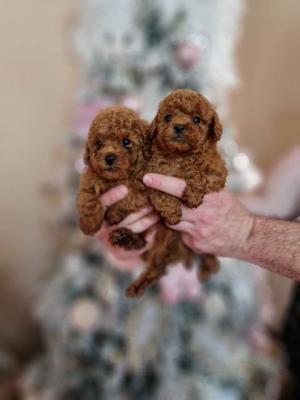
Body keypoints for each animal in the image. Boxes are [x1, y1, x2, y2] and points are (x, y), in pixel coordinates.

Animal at [77, 106, 150, 250]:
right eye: (99, 143)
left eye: (126, 142)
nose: (109, 158)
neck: (114, 179)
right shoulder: (88, 180)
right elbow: (87, 199)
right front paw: (89, 224)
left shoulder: (143, 188)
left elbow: (130, 197)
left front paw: (114, 215)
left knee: (142, 243)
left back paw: (124, 237)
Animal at [125, 89, 227, 296]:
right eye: (167, 117)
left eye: (196, 119)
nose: (179, 126)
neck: (181, 155)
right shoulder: (150, 174)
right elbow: (160, 195)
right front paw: (172, 214)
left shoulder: (218, 171)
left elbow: (202, 177)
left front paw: (192, 196)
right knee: (156, 267)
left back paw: (209, 266)